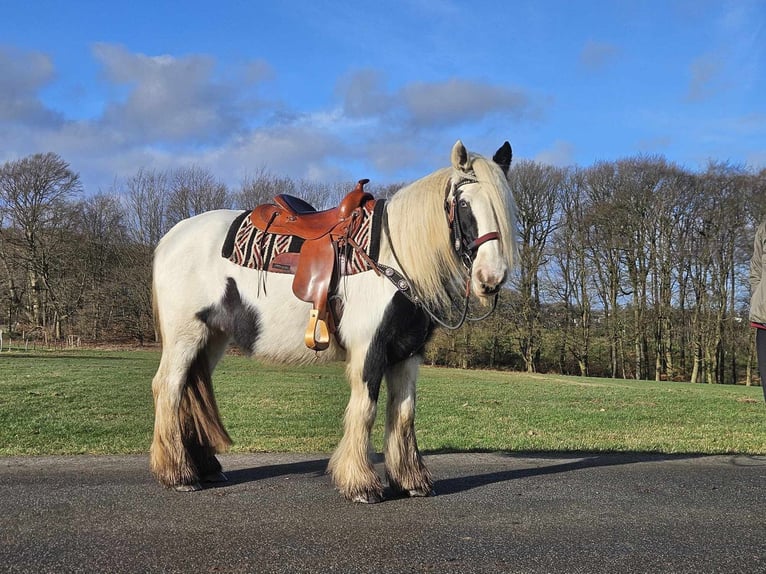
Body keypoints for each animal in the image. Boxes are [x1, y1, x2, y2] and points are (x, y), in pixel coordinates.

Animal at [150, 140, 520, 504]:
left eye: (504, 207)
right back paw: (179, 476)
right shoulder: (370, 350)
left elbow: (404, 414)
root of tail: (172, 236)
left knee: (190, 389)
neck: (392, 258)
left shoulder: (407, 354)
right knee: (168, 388)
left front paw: (411, 481)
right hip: (186, 335)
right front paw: (360, 485)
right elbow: (366, 409)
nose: (491, 278)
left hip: (212, 336)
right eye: (464, 203)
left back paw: (205, 468)